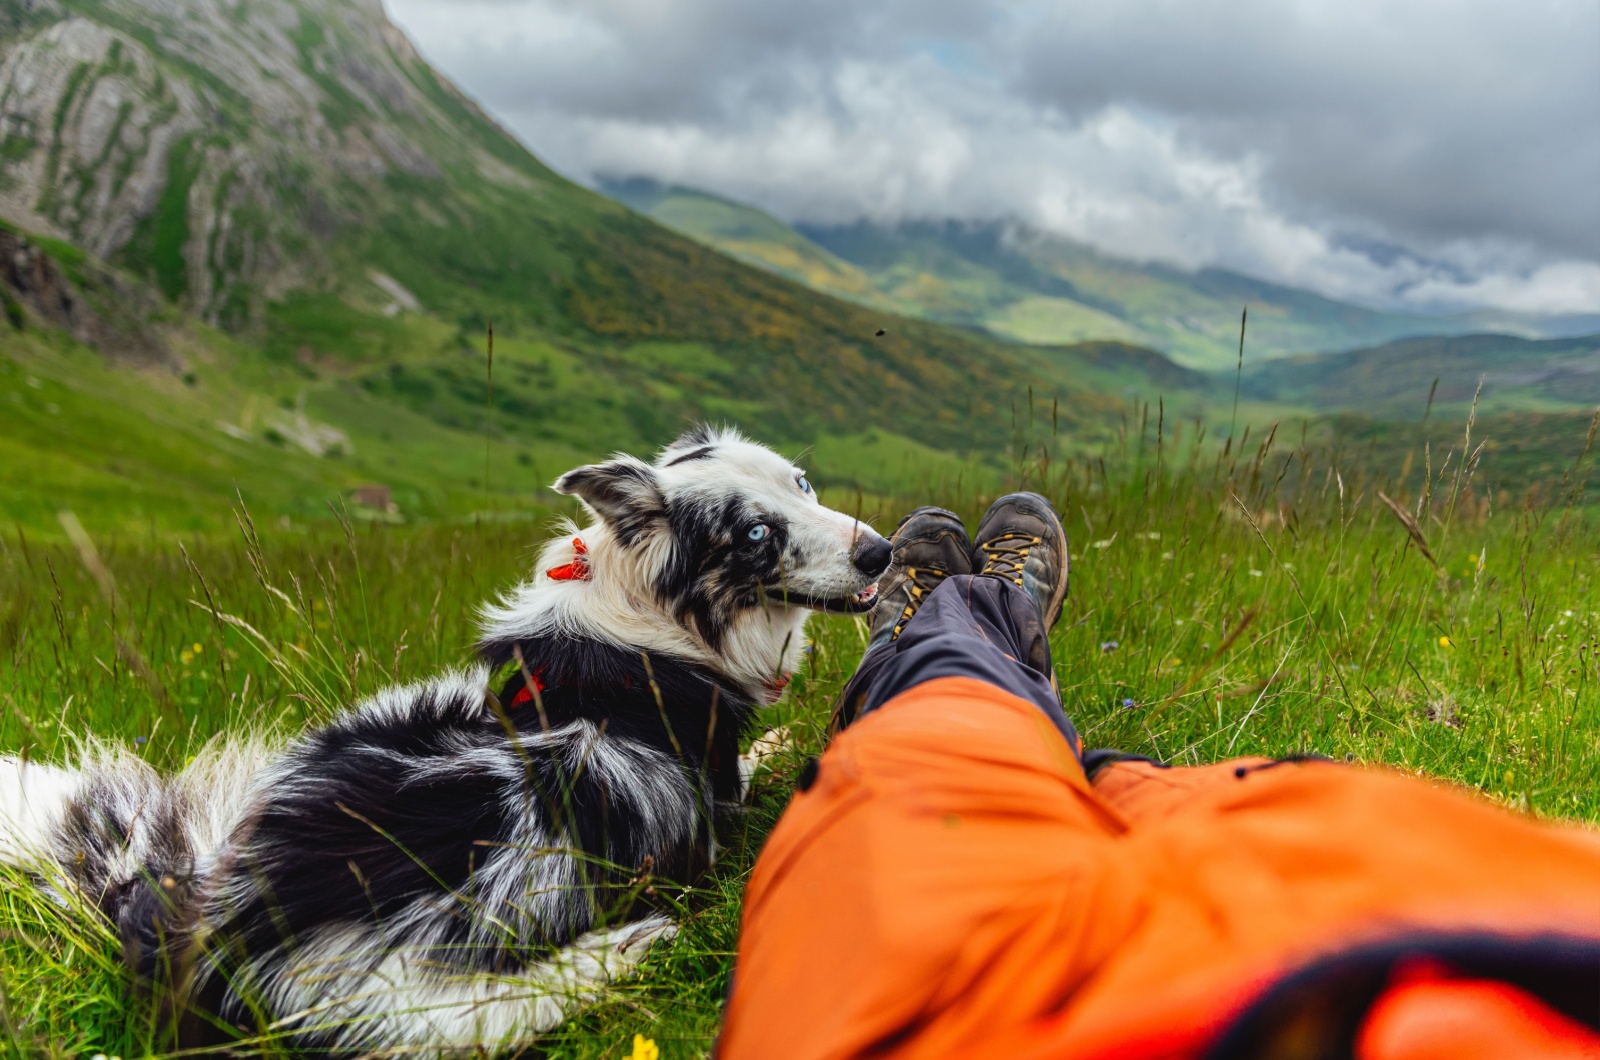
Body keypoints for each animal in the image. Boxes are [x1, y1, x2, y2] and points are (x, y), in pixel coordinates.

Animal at [0, 429, 889, 1056]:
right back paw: (624, 947)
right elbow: (756, 763)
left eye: (802, 483)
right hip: (415, 1003)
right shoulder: (719, 802)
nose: (880, 552)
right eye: (755, 535)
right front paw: (789, 742)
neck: (649, 618)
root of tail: (223, 929)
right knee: (510, 1010)